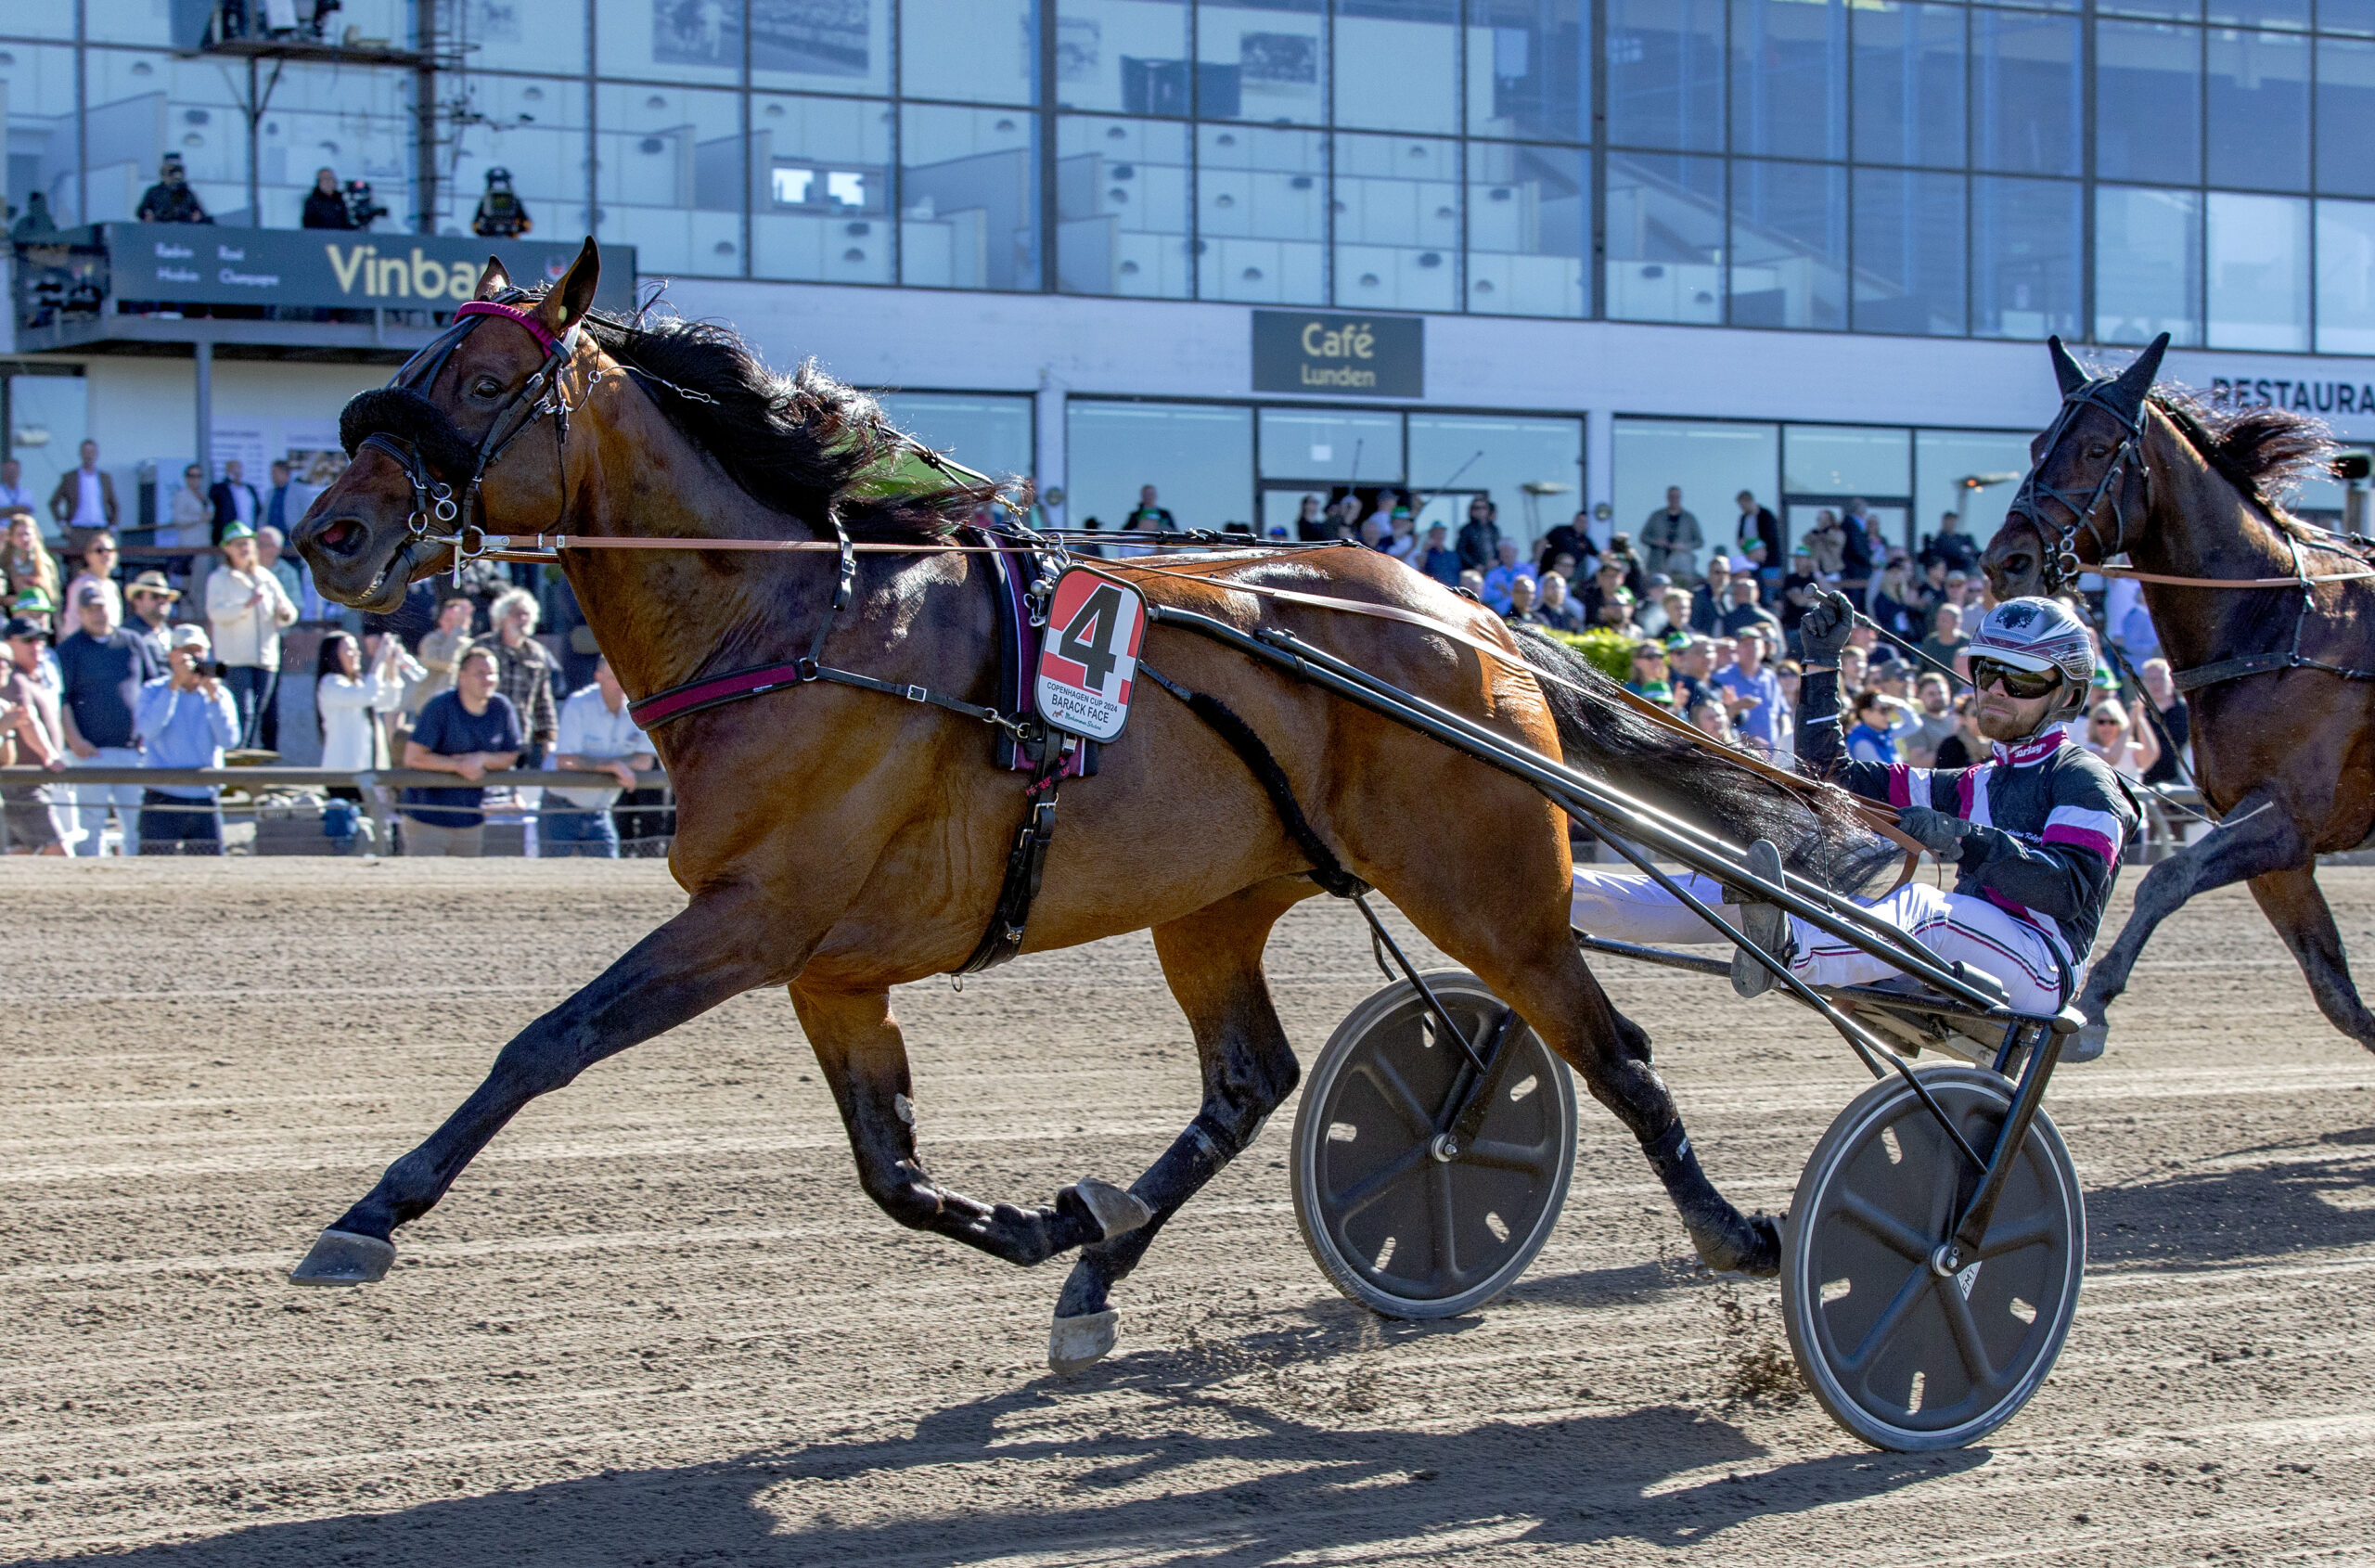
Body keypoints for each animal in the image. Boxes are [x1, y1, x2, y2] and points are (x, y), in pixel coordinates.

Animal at [287, 238, 1881, 1368]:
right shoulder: (830, 968)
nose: (329, 531)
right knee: (1248, 1084)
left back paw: (1742, 1234)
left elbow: (546, 1042)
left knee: (1612, 1049)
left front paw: (368, 1213)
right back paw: (1105, 1266)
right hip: (1220, 898)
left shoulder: (754, 922)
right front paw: (1050, 1217)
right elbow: (891, 1168)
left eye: (482, 382)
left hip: (1491, 885)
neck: (805, 619)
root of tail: (1463, 614)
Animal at [1975, 337, 2365, 1060]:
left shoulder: (2285, 817)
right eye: (2039, 443)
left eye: (2098, 448)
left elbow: (2164, 879)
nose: (2006, 561)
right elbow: (2337, 993)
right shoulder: (2281, 852)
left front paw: (2092, 1006)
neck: (2276, 624)